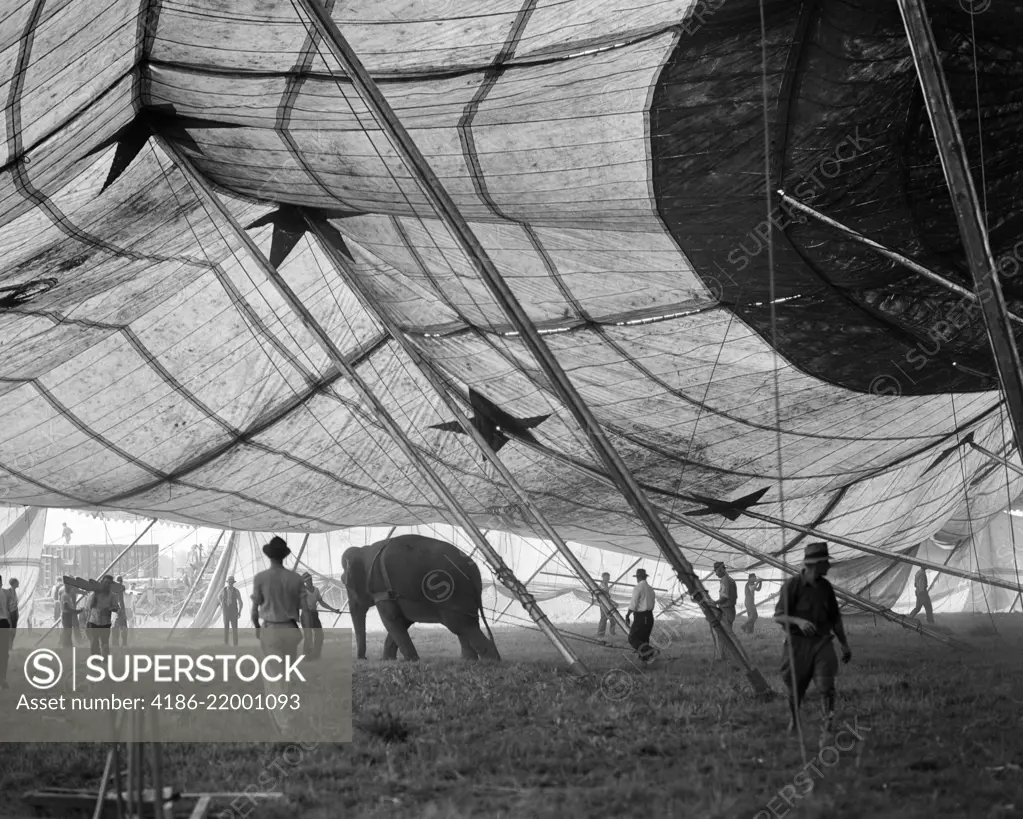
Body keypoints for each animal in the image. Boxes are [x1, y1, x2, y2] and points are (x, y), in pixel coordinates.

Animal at [341, 531, 501, 662]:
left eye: (345, 583)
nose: (363, 658)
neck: (365, 550)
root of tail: (474, 570)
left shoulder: (381, 588)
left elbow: (390, 619)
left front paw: (410, 661)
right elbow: (403, 620)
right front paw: (389, 661)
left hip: (454, 593)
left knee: (463, 625)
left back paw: (490, 661)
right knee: (466, 625)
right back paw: (468, 660)